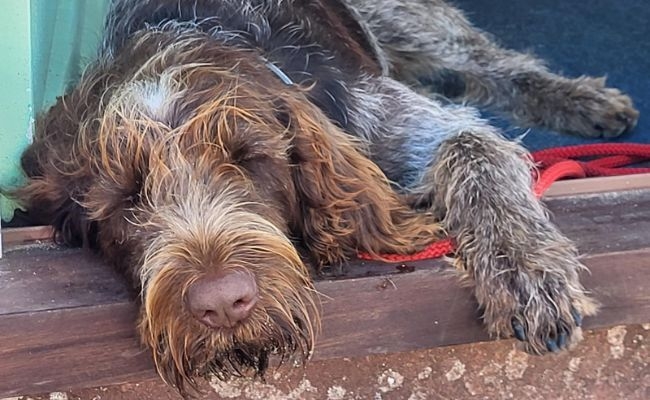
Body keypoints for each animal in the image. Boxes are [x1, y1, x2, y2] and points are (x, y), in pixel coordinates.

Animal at [12, 0, 636, 396]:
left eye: (250, 159)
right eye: (126, 199)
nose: (222, 303)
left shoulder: (396, 121)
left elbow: (472, 145)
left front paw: (524, 269)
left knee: (489, 65)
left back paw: (584, 100)